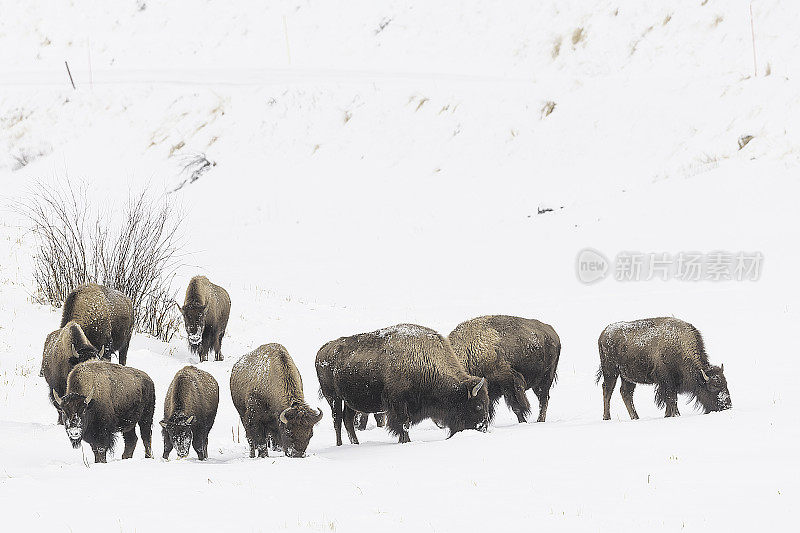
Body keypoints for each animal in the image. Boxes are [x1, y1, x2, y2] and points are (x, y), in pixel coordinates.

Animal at [316, 324, 490, 444]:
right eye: (478, 405)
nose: (482, 427)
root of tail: (323, 350)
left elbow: (404, 424)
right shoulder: (399, 403)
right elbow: (403, 424)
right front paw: (406, 441)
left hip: (351, 402)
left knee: (348, 420)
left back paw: (356, 443)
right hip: (334, 398)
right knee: (337, 420)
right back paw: (340, 445)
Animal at [592, 316, 732, 420]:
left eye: (726, 384)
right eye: (713, 387)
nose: (727, 406)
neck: (680, 346)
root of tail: (604, 333)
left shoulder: (670, 383)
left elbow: (670, 399)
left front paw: (668, 415)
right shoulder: (667, 380)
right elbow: (671, 398)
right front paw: (675, 415)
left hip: (627, 376)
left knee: (626, 393)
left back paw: (635, 417)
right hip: (610, 371)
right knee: (607, 390)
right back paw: (607, 417)